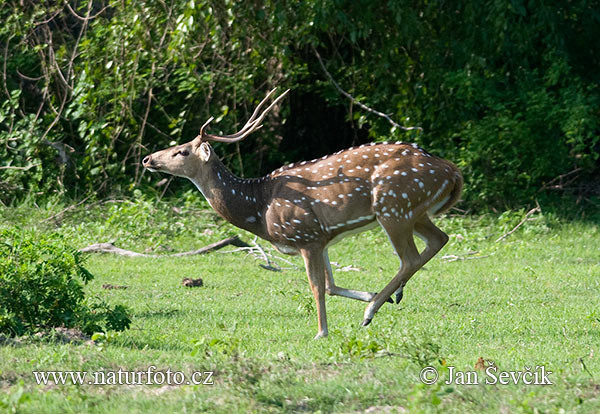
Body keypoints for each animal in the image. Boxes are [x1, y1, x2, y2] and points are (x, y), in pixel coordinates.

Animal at [143, 89, 462, 338]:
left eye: (182, 151)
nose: (147, 159)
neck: (258, 210)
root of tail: (453, 171)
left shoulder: (306, 235)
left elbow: (317, 287)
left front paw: (322, 331)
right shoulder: (322, 238)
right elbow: (331, 286)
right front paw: (367, 295)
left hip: (393, 206)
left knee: (410, 257)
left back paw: (371, 312)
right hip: (415, 211)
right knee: (439, 240)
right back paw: (387, 298)